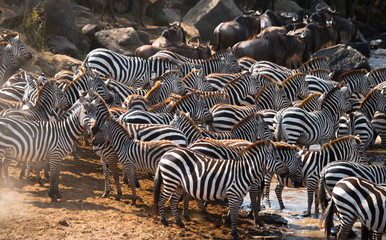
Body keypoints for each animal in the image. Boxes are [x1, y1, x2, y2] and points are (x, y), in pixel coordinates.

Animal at [152, 140, 288, 239]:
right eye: (277, 158)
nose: (286, 173)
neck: (243, 172)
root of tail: (167, 153)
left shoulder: (239, 195)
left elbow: (235, 213)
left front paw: (230, 225)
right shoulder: (233, 194)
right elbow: (234, 214)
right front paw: (234, 233)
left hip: (178, 184)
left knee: (172, 201)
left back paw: (179, 223)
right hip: (171, 180)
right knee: (162, 199)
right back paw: (164, 220)